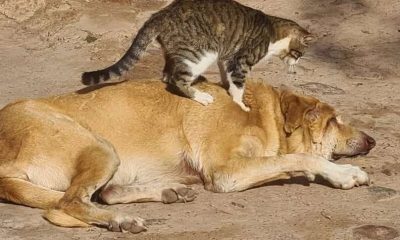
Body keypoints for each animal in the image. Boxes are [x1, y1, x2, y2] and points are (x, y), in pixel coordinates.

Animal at [0, 79, 376, 233]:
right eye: (334, 120)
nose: (372, 140)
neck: (260, 113)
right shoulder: (226, 173)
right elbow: (300, 159)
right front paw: (342, 173)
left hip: (108, 157)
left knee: (104, 194)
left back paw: (168, 190)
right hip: (99, 146)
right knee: (70, 202)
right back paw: (121, 221)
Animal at [81, 0, 312, 110]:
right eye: (299, 53)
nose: (296, 62)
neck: (273, 31)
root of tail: (160, 14)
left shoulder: (226, 57)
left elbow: (228, 77)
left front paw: (226, 87)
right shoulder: (241, 61)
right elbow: (238, 86)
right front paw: (240, 104)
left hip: (179, 53)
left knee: (167, 75)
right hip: (200, 54)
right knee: (176, 79)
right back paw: (200, 96)